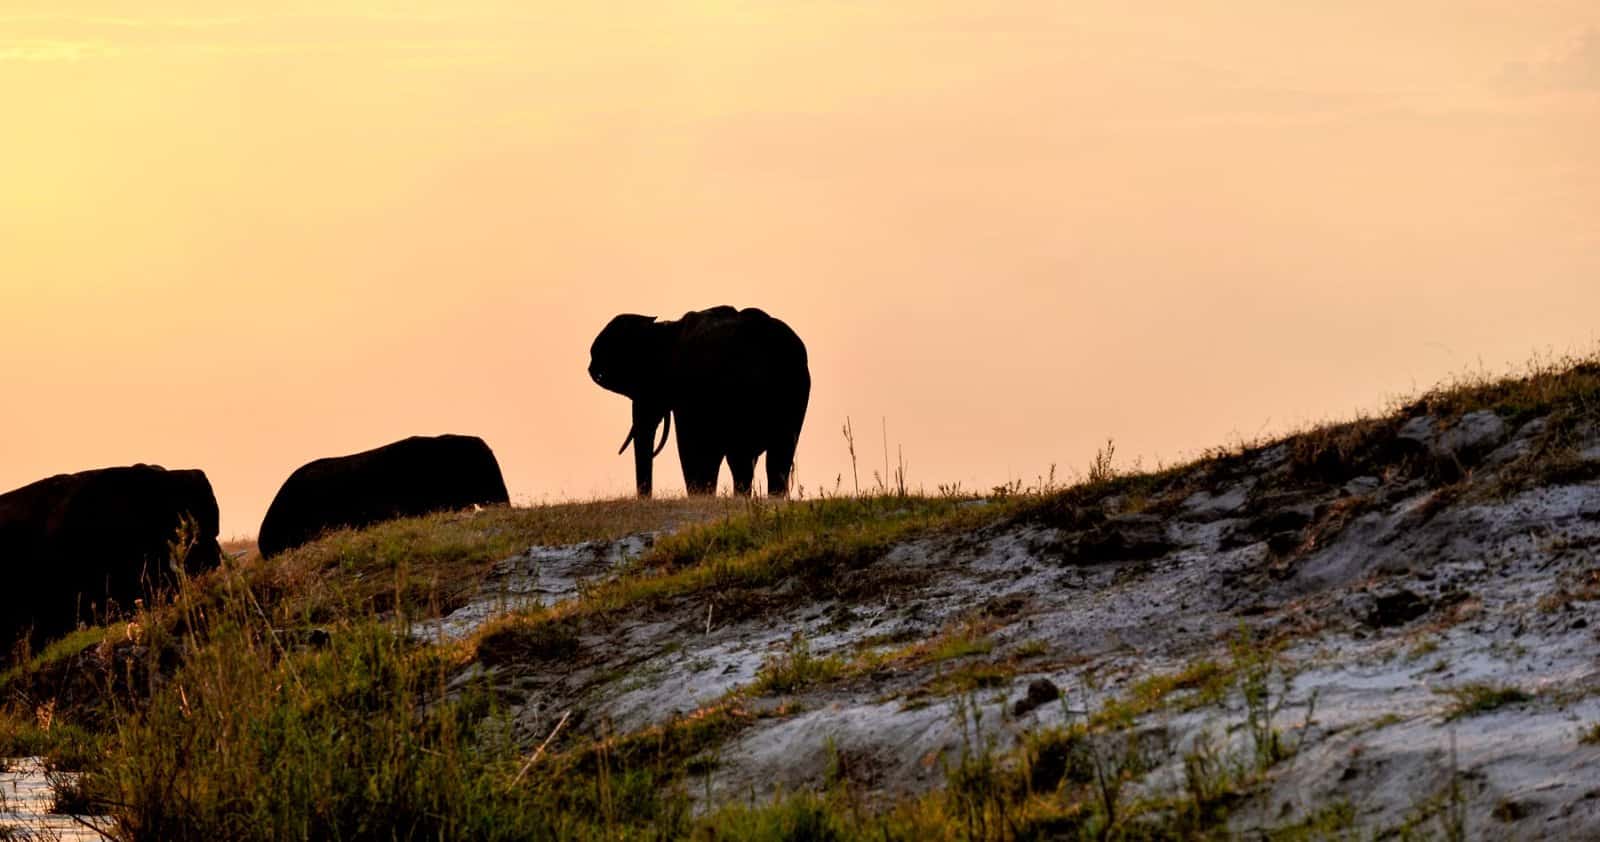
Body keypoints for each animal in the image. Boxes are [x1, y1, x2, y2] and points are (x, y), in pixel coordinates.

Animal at [589, 306, 810, 497]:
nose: (645, 498)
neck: (664, 330)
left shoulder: (687, 391)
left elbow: (691, 446)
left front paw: (700, 495)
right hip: (794, 390)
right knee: (775, 455)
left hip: (744, 392)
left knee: (742, 456)